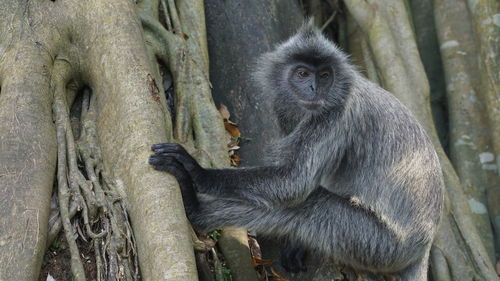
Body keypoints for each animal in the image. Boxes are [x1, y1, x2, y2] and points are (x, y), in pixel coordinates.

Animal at [149, 21, 446, 280]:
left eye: (324, 76)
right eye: (303, 73)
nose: (314, 88)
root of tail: (425, 244)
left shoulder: (334, 114)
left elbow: (293, 183)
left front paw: (195, 171)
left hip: (380, 245)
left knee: (309, 207)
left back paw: (195, 208)